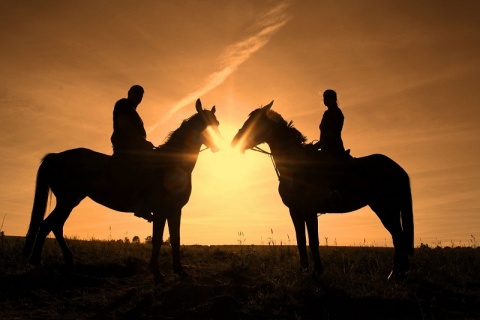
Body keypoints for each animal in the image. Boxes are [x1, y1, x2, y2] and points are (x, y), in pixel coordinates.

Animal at [22, 98, 221, 282]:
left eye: (217, 123)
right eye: (205, 124)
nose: (219, 146)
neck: (171, 165)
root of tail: (55, 156)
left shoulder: (175, 210)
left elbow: (175, 239)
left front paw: (179, 271)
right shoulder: (160, 210)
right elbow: (157, 240)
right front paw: (157, 273)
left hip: (71, 201)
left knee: (54, 225)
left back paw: (64, 261)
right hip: (67, 200)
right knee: (48, 224)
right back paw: (37, 261)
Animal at [232, 102, 412, 280]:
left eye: (254, 122)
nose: (236, 141)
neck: (296, 166)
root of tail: (398, 168)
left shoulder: (310, 210)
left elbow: (313, 240)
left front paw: (317, 271)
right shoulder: (295, 210)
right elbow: (300, 240)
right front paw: (303, 270)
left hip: (385, 208)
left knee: (398, 236)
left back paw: (395, 274)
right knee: (398, 237)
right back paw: (399, 272)